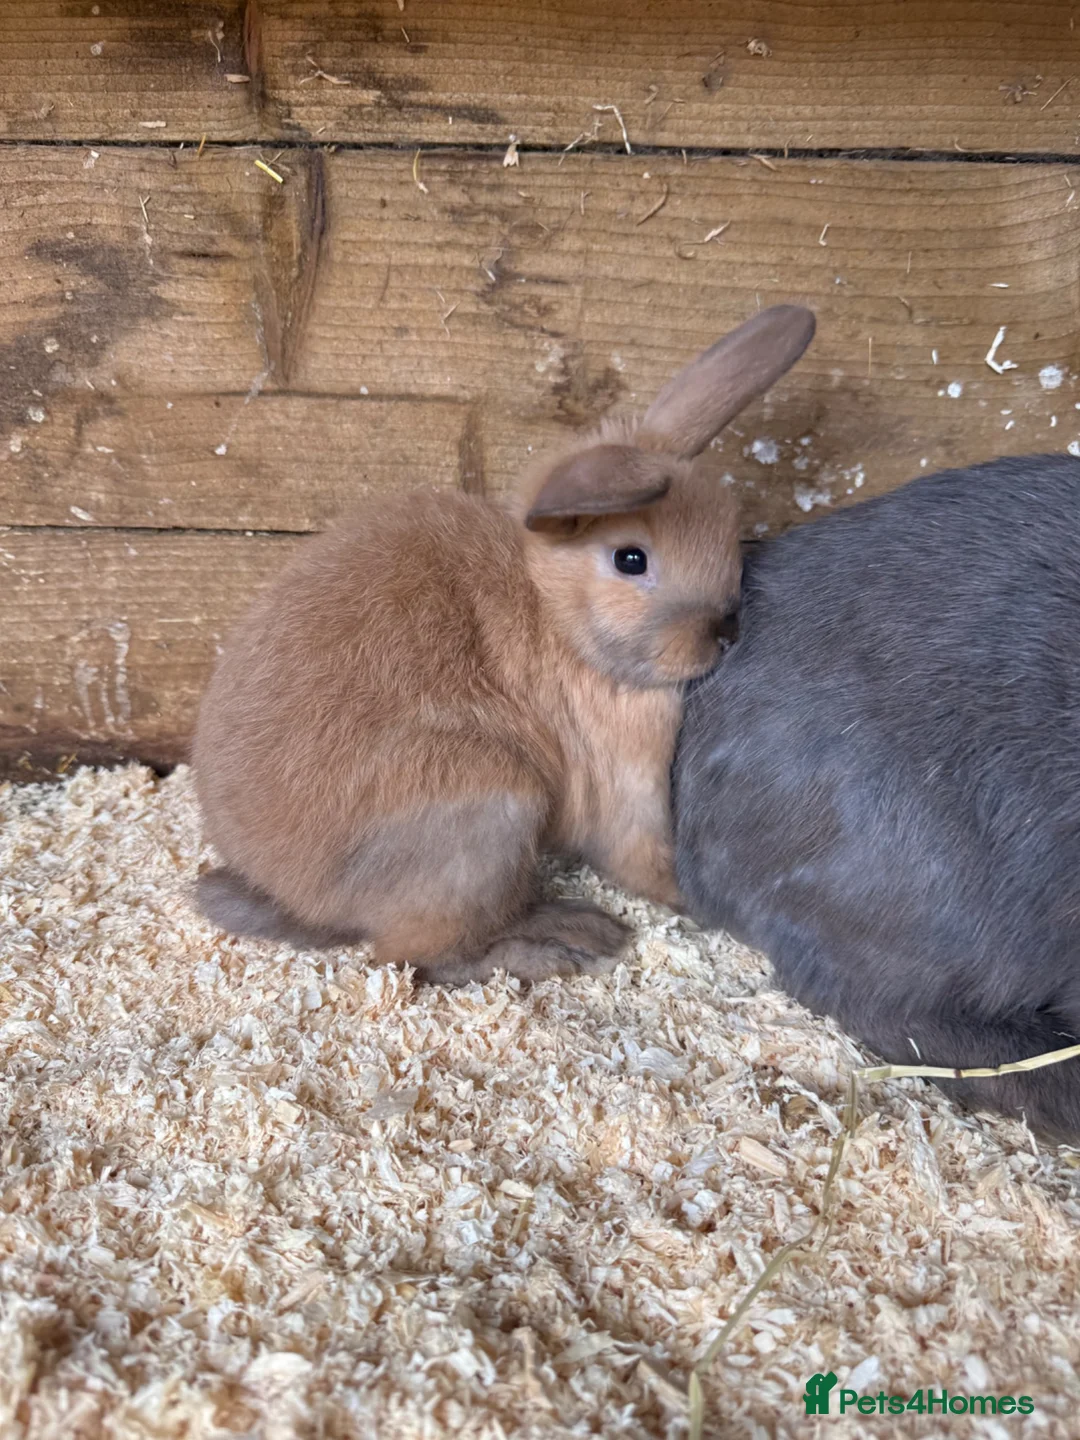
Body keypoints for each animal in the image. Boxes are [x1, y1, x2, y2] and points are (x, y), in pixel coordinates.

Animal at [192, 305, 817, 985]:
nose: (724, 633)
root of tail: (301, 900)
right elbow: (640, 857)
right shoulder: (623, 784)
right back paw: (564, 944)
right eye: (631, 559)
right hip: (493, 809)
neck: (553, 612)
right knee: (422, 957)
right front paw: (690, 901)